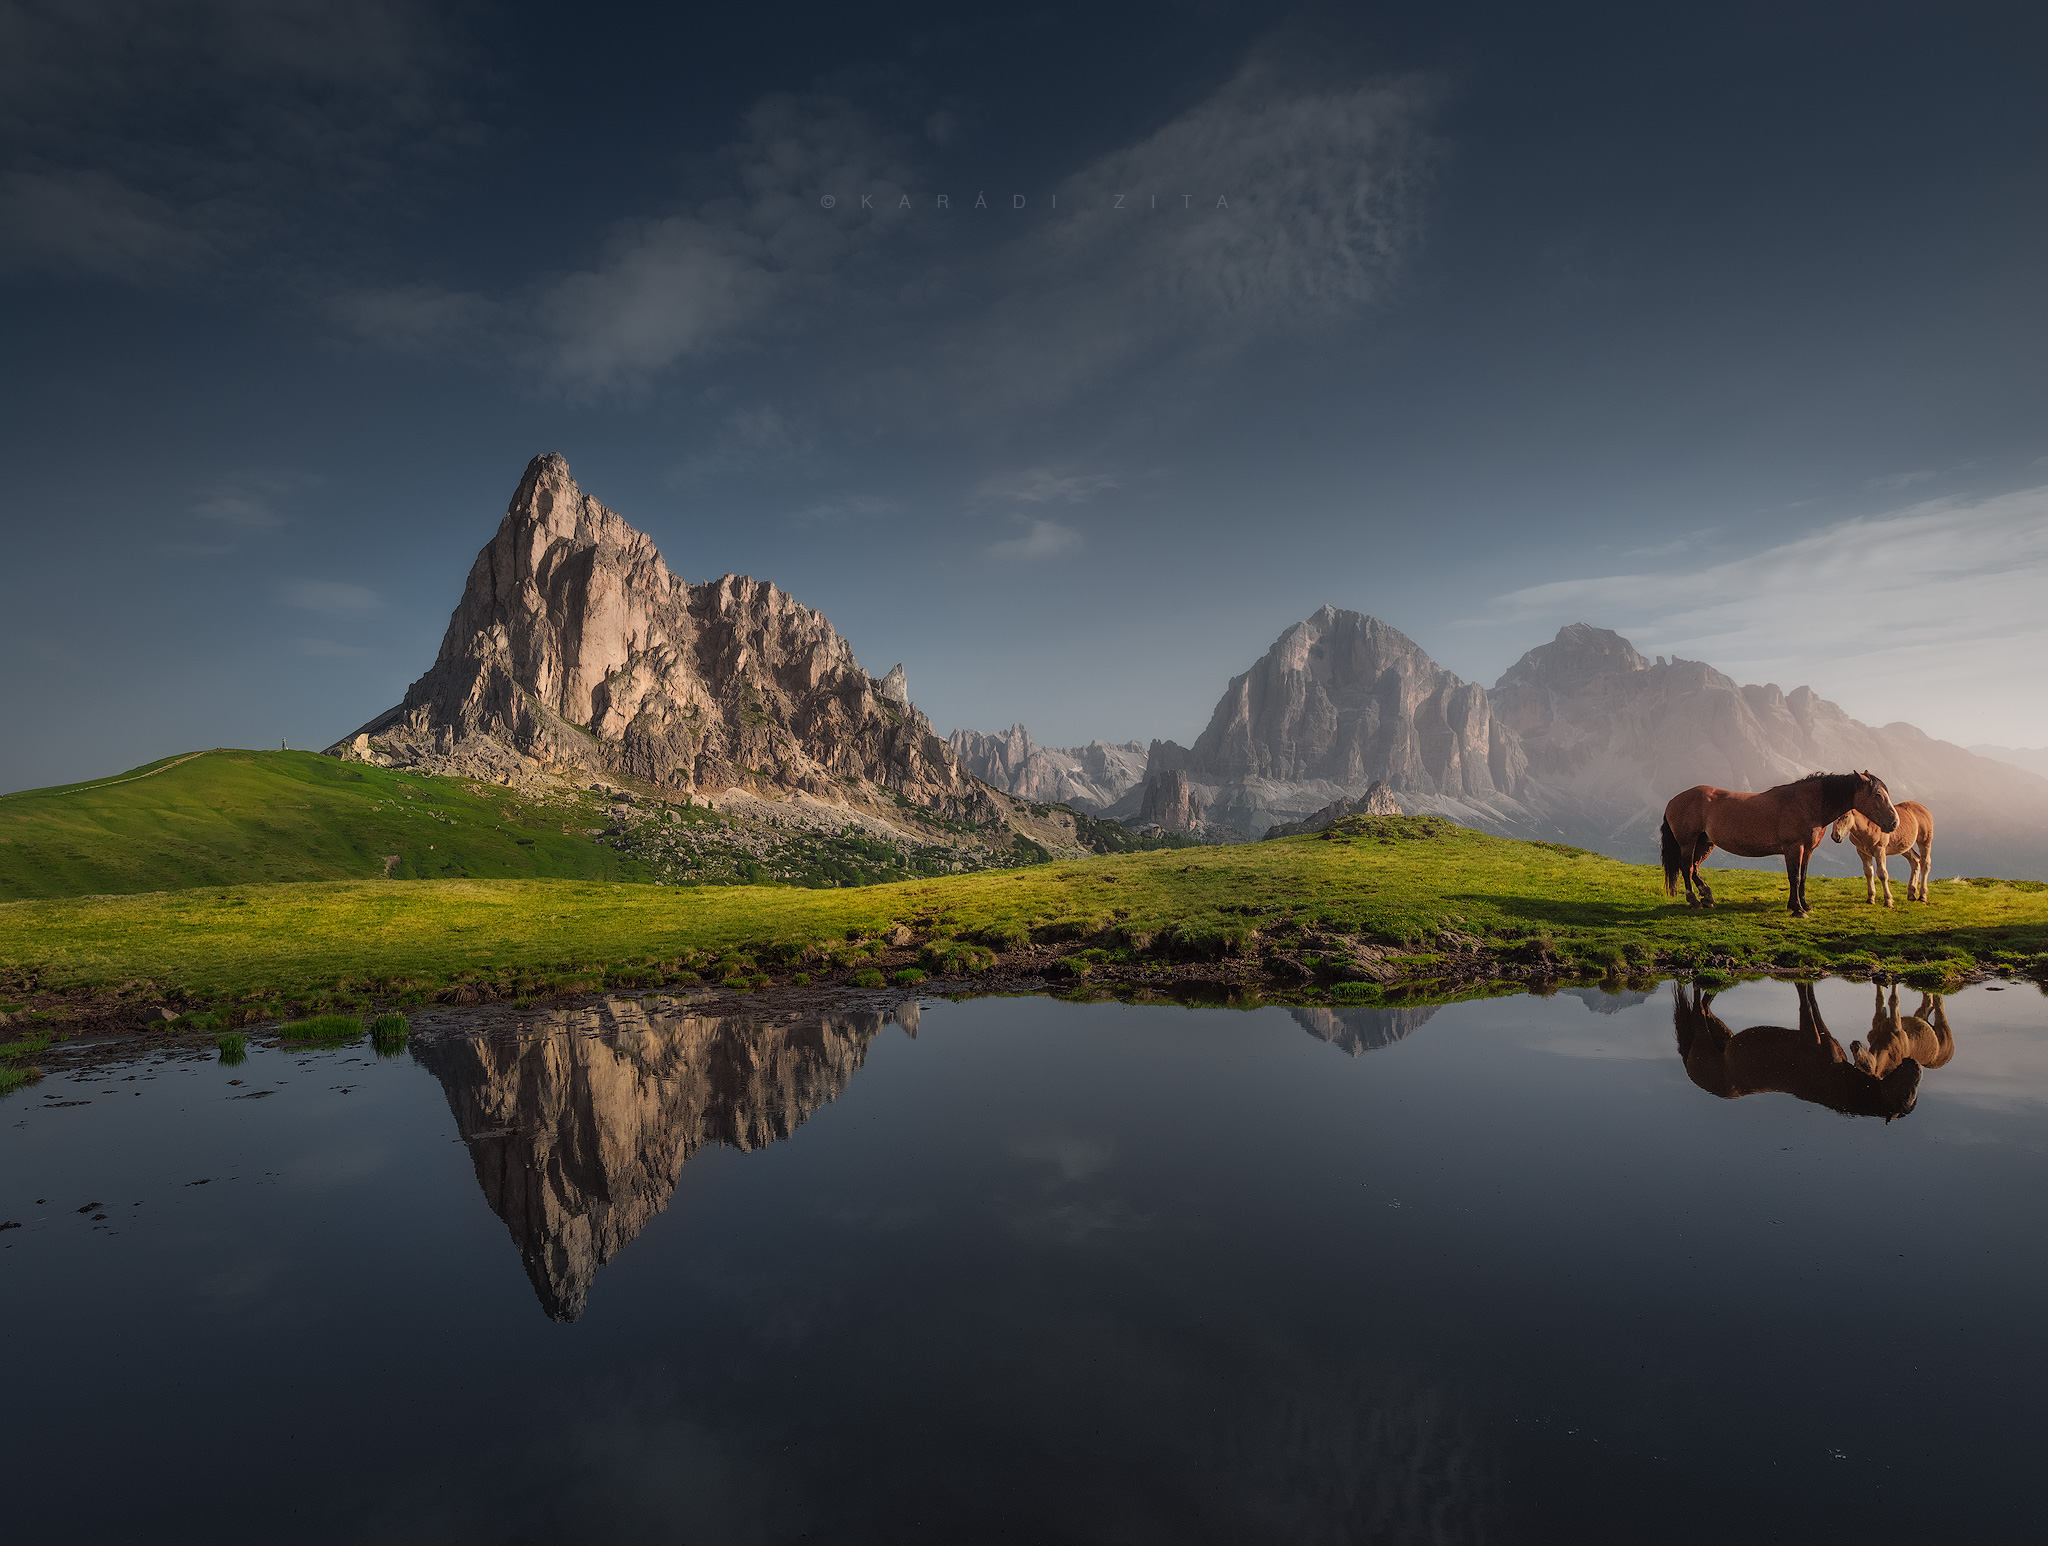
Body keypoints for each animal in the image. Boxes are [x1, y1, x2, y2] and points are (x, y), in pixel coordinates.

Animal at [1654, 769, 1892, 913]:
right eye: (1878, 795)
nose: (1893, 822)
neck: (1807, 804)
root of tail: (1672, 801)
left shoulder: (1808, 850)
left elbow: (1803, 877)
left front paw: (1805, 905)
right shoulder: (1794, 848)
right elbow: (1795, 877)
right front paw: (1797, 909)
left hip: (1704, 844)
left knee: (1694, 868)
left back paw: (1707, 897)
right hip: (1688, 843)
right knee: (1686, 868)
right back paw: (1694, 900)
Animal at [1679, 986, 1916, 1122]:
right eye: (1907, 1094)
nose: (1913, 1063)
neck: (1836, 1078)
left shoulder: (1821, 1035)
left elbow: (1813, 1002)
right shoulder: (1811, 1036)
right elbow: (1807, 1002)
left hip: (1720, 1032)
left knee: (1705, 1005)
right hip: (1703, 1036)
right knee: (1699, 1009)